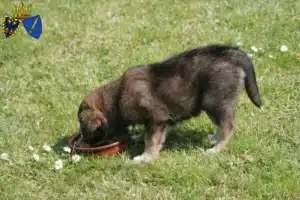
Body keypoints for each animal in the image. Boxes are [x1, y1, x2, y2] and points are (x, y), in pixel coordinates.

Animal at [78, 44, 262, 162]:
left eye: (83, 126)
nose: (82, 143)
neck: (116, 98)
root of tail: (231, 54)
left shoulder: (156, 119)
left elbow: (151, 140)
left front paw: (145, 157)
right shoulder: (159, 121)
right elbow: (150, 136)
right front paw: (138, 139)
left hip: (214, 100)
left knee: (228, 126)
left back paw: (216, 149)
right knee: (221, 124)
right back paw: (214, 138)